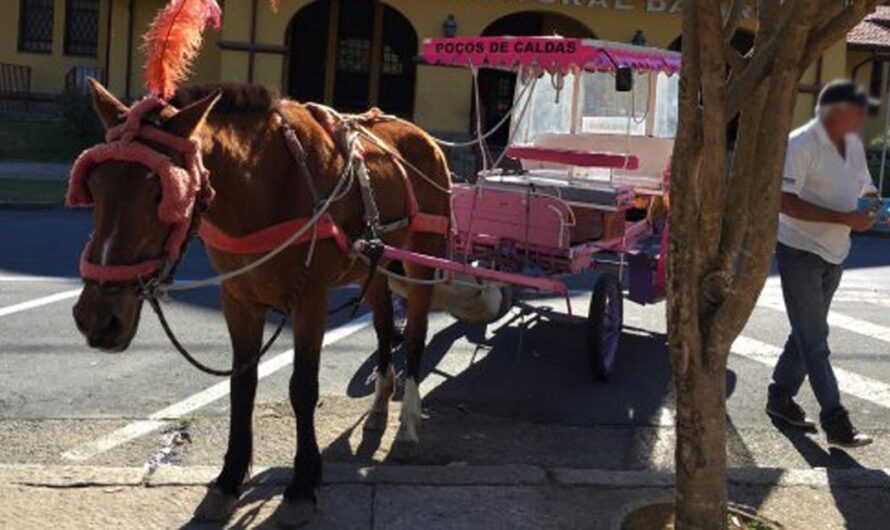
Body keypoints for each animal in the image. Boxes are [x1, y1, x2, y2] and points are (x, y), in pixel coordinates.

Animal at [71, 80, 450, 520]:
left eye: (161, 192)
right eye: (94, 185)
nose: (97, 318)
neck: (268, 183)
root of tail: (423, 136)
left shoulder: (310, 300)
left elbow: (303, 388)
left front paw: (303, 482)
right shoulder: (239, 301)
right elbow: (242, 386)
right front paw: (229, 478)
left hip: (423, 259)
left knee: (415, 336)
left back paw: (407, 425)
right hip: (376, 264)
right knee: (386, 327)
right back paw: (377, 411)